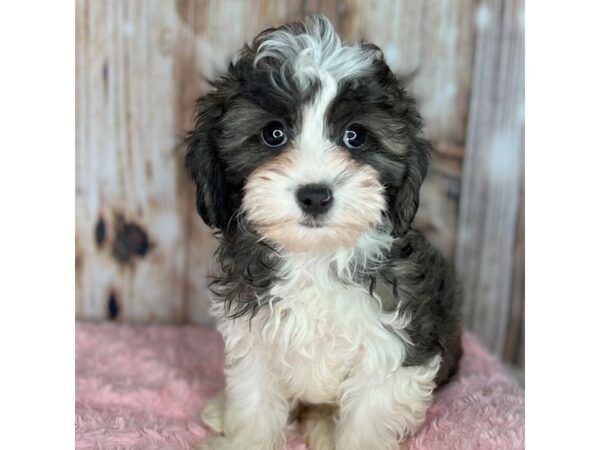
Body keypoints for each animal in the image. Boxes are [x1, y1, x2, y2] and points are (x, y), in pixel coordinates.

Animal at [185, 14, 462, 450]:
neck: (315, 256)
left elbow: (367, 421)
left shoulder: (394, 346)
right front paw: (246, 438)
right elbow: (254, 405)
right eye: (274, 134)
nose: (315, 195)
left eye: (355, 135)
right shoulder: (255, 338)